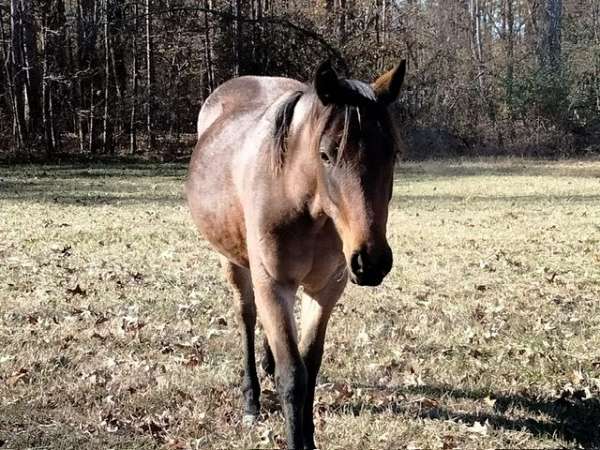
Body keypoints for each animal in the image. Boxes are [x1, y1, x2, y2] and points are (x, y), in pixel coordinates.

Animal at [185, 59, 406, 446]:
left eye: (392, 153)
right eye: (325, 154)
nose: (371, 261)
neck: (303, 204)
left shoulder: (325, 290)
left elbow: (310, 365)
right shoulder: (274, 285)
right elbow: (293, 376)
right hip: (234, 264)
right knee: (246, 317)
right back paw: (251, 399)